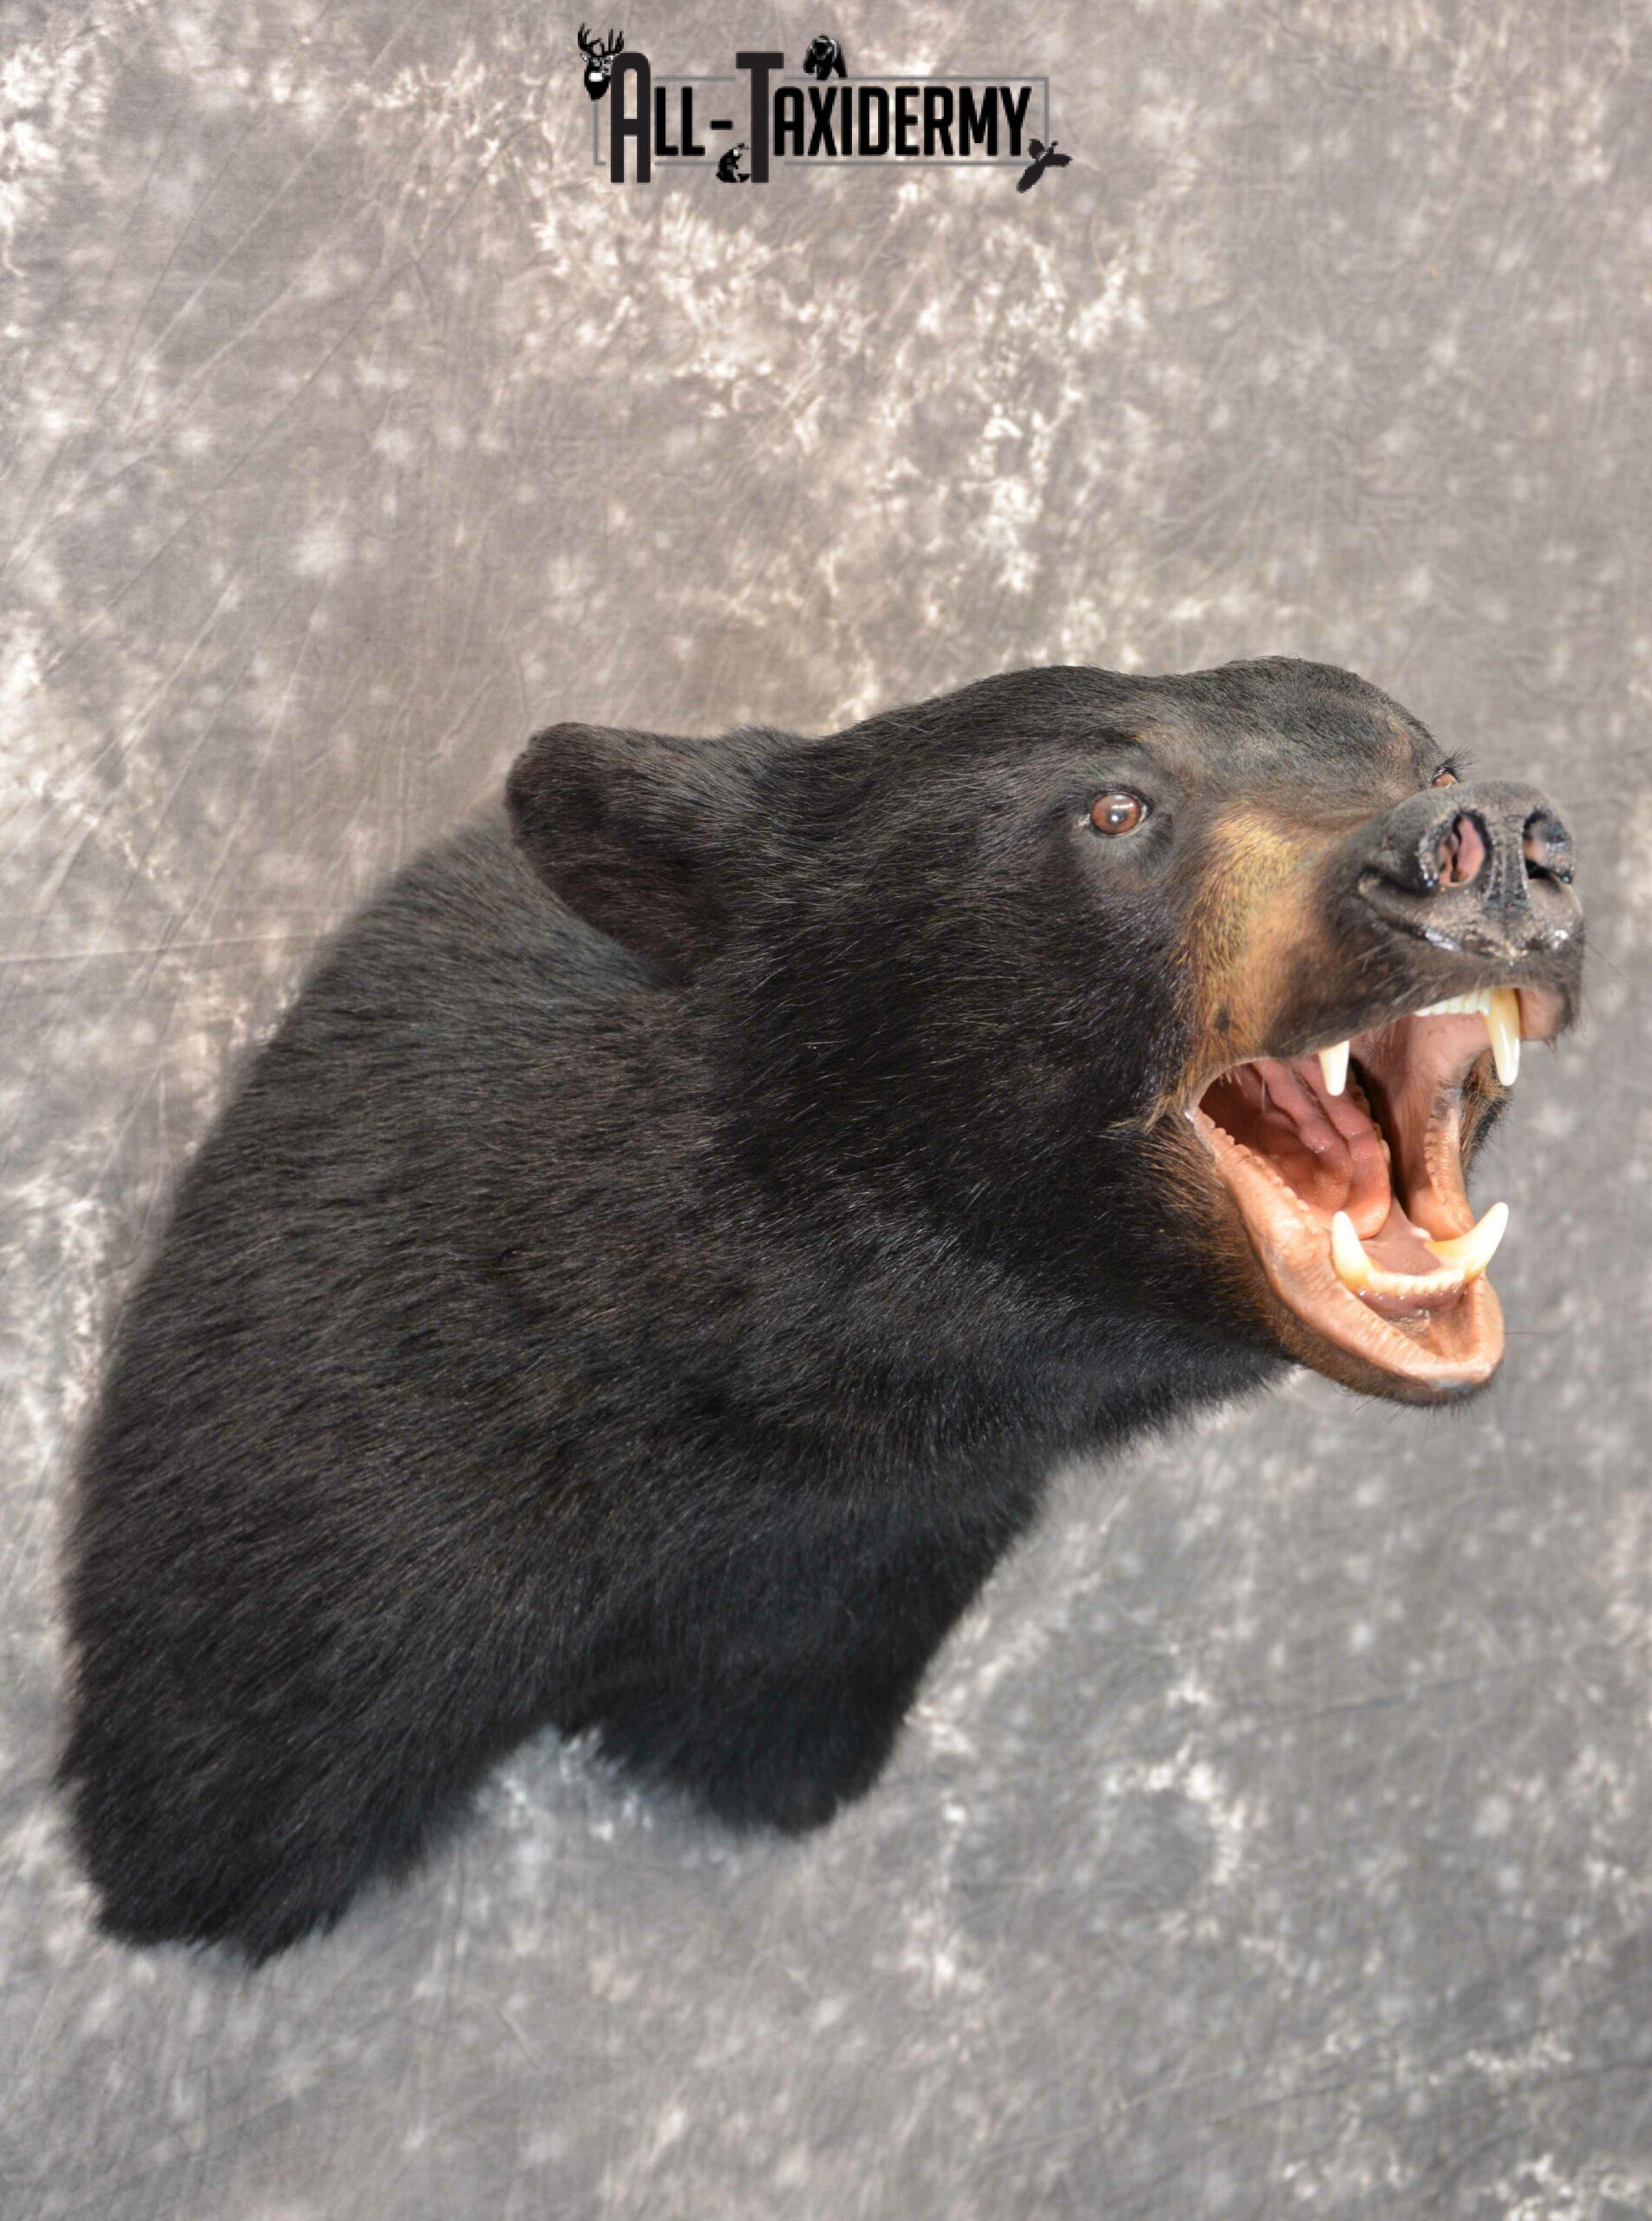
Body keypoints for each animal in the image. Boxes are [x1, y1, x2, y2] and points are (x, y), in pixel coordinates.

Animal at [58, 658, 1583, 1959]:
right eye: (1115, 806)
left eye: (1422, 751)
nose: (1496, 839)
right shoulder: (345, 1485)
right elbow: (257, 1734)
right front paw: (185, 1866)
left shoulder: (872, 1565)